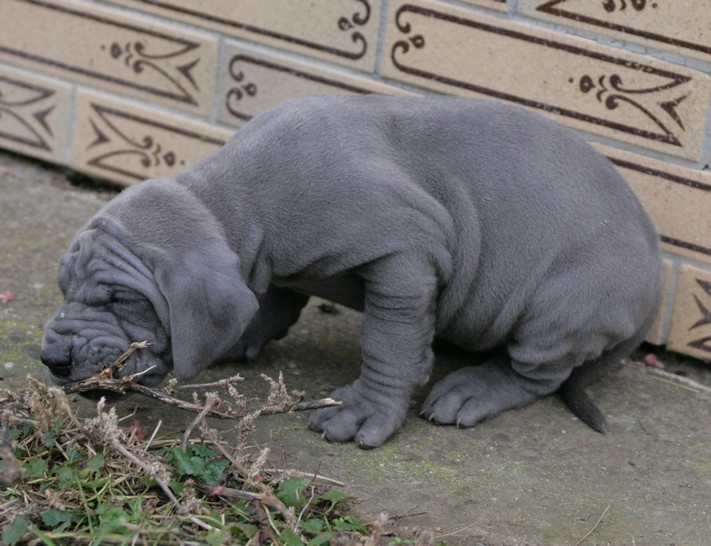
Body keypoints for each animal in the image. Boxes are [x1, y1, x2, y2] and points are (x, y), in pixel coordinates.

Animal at [41, 95, 662, 448]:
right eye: (64, 288)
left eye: (120, 300)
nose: (52, 359)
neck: (238, 199)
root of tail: (656, 278)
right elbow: (267, 301)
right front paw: (237, 338)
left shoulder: (409, 250)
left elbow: (389, 341)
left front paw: (366, 409)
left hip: (559, 309)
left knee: (539, 374)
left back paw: (475, 387)